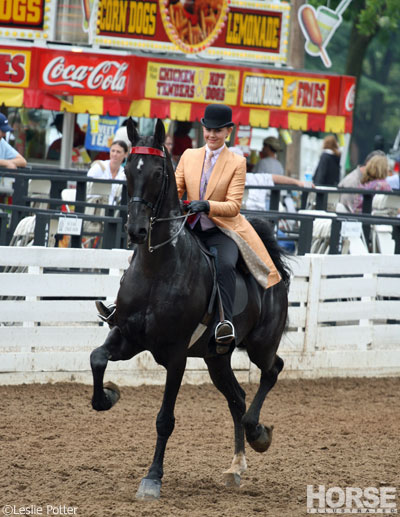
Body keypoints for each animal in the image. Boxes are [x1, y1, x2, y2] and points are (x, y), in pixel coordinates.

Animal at [91, 118, 290, 500]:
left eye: (157, 173)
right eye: (128, 169)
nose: (136, 231)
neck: (157, 269)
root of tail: (272, 268)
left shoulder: (176, 355)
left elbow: (164, 419)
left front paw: (152, 479)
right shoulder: (127, 336)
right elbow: (97, 358)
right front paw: (108, 395)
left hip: (260, 345)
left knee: (272, 371)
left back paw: (258, 433)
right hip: (216, 358)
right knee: (237, 398)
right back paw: (236, 466)